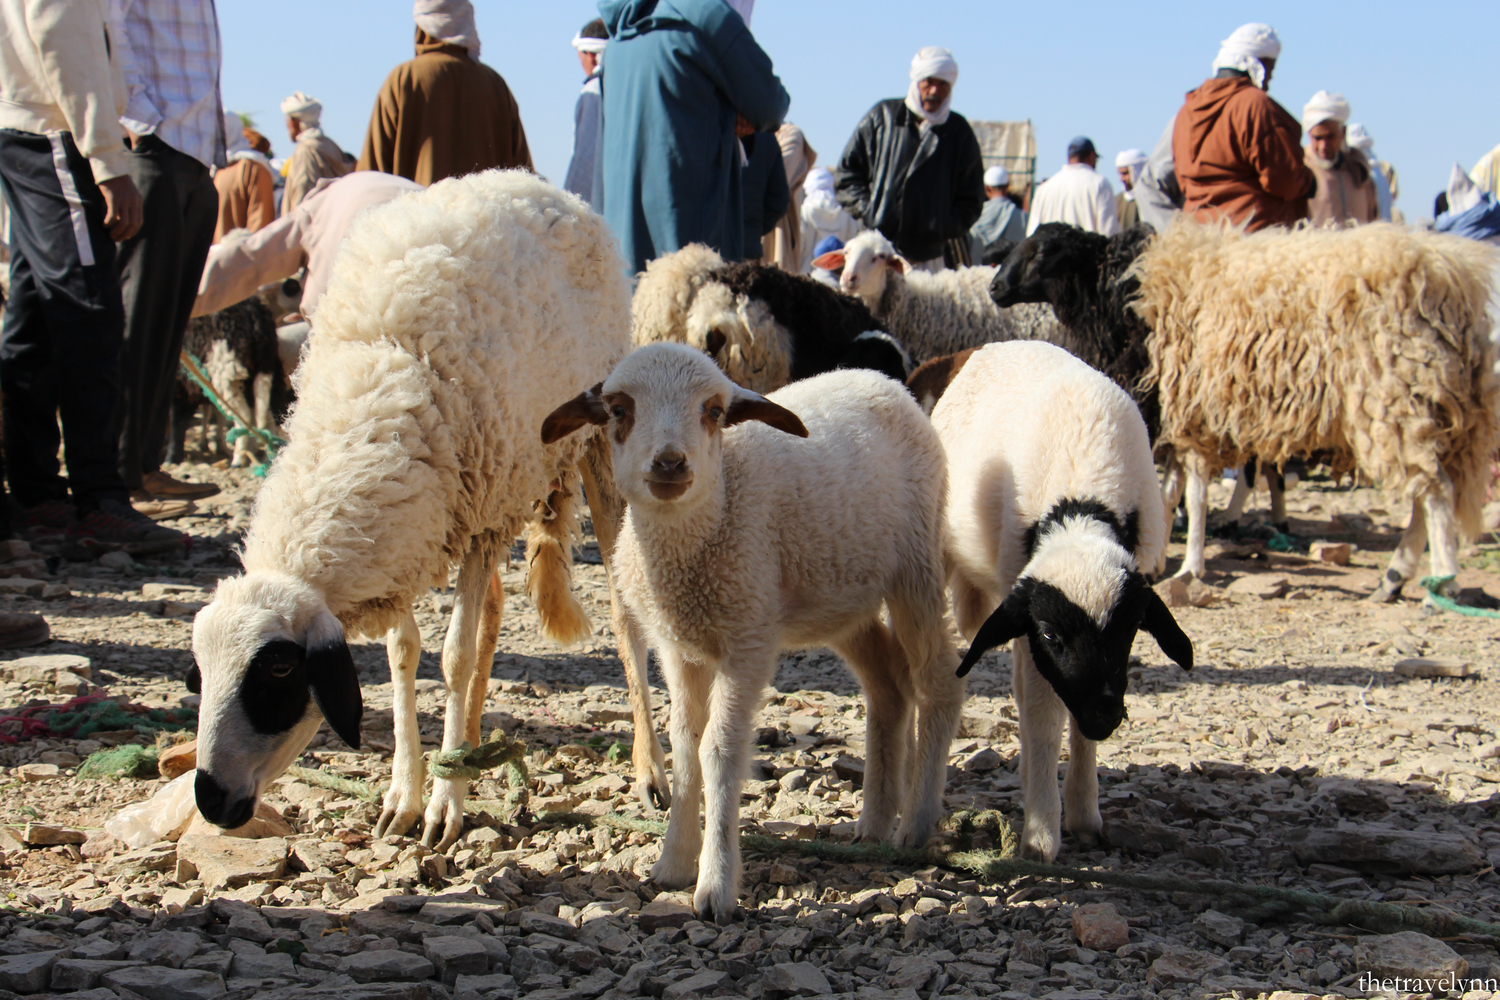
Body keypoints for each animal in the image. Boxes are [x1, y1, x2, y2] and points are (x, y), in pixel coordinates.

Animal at [192, 167, 669, 851]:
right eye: (198, 674)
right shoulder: (417, 530)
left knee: (620, 611)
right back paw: (467, 744)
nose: (210, 803)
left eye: (278, 670)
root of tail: (538, 185)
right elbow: (405, 654)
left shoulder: (474, 517)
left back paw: (650, 770)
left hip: (595, 444)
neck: (376, 375)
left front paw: (444, 803)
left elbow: (454, 658)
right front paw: (406, 794)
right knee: (493, 613)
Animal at [540, 341, 960, 923]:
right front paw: (672, 863)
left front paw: (715, 886)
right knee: (890, 685)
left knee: (937, 680)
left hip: (915, 565)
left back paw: (915, 825)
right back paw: (874, 822)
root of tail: (881, 379)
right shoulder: (678, 647)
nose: (670, 463)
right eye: (619, 410)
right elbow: (684, 746)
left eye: (714, 411)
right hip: (838, 595)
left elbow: (718, 751)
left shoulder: (748, 641)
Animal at [936, 341, 1194, 863]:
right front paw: (1041, 832)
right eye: (1051, 633)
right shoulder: (1026, 619)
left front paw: (1083, 813)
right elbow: (1043, 714)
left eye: (1131, 629)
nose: (1105, 716)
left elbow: (1071, 724)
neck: (1084, 500)